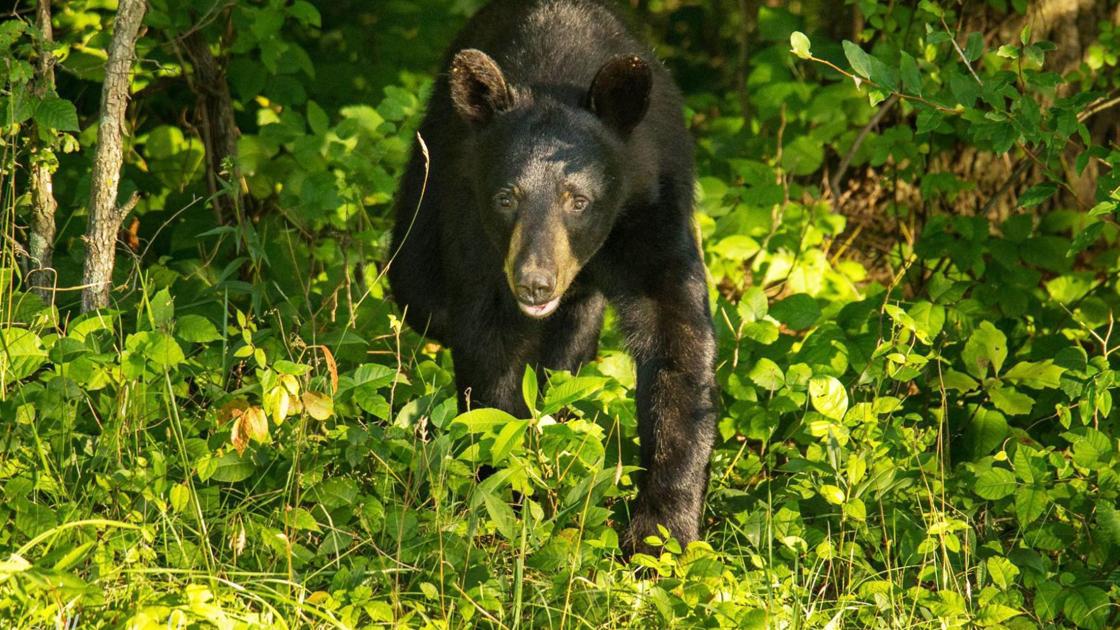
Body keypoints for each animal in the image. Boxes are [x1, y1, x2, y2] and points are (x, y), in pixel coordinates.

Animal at [387, 0, 717, 553]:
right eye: (506, 197)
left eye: (577, 200)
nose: (534, 283)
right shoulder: (476, 233)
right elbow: (490, 352)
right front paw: (510, 495)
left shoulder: (651, 214)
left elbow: (677, 343)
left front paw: (662, 530)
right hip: (426, 185)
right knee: (418, 288)